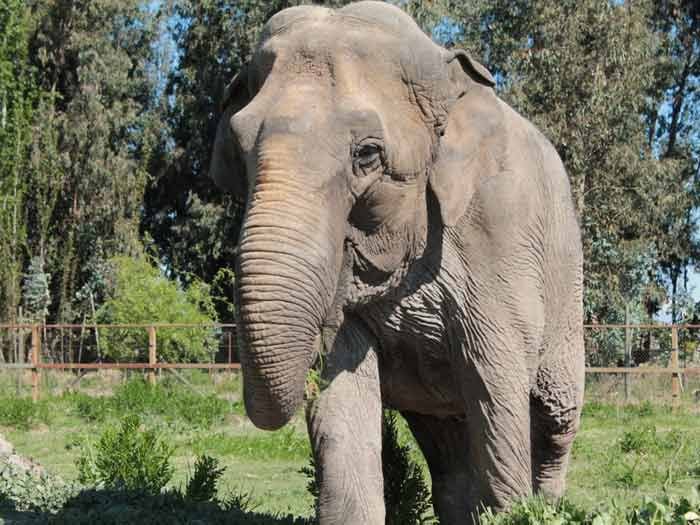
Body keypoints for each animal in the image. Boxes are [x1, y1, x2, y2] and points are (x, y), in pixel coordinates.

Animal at [208, 2, 584, 520]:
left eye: (367, 154)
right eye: (239, 149)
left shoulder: (500, 233)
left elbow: (496, 383)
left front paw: (512, 513)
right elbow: (343, 395)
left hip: (567, 297)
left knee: (552, 418)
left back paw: (548, 501)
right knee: (449, 450)